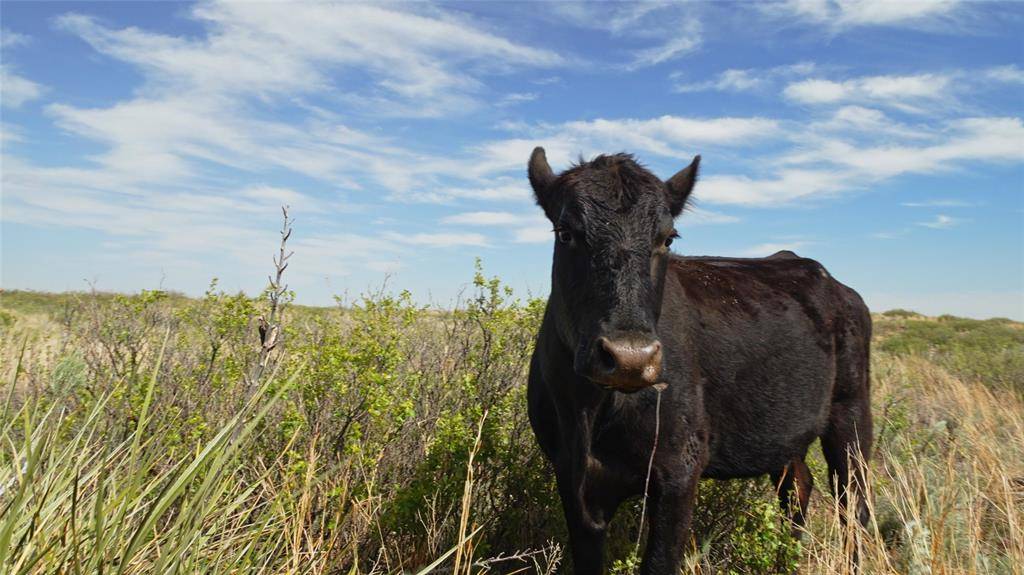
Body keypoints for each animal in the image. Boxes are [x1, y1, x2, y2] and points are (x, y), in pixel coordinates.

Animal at [528, 148, 872, 572]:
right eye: (566, 232)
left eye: (667, 238)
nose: (630, 357)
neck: (590, 413)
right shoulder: (571, 479)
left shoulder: (679, 468)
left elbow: (660, 562)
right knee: (797, 487)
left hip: (852, 413)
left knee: (853, 505)